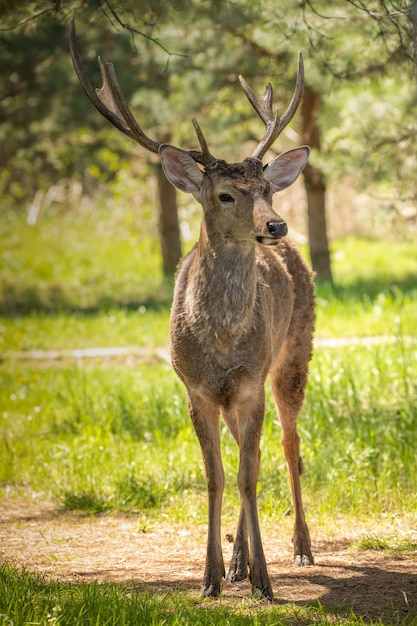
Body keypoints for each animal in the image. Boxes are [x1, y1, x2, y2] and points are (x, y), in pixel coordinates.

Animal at [70, 20, 314, 600]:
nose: (276, 224)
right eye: (225, 194)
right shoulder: (195, 389)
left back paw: (300, 548)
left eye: (267, 187)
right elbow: (216, 476)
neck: (221, 344)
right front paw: (211, 578)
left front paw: (265, 582)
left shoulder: (248, 383)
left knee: (290, 445)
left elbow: (248, 475)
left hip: (294, 356)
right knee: (253, 452)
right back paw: (238, 562)